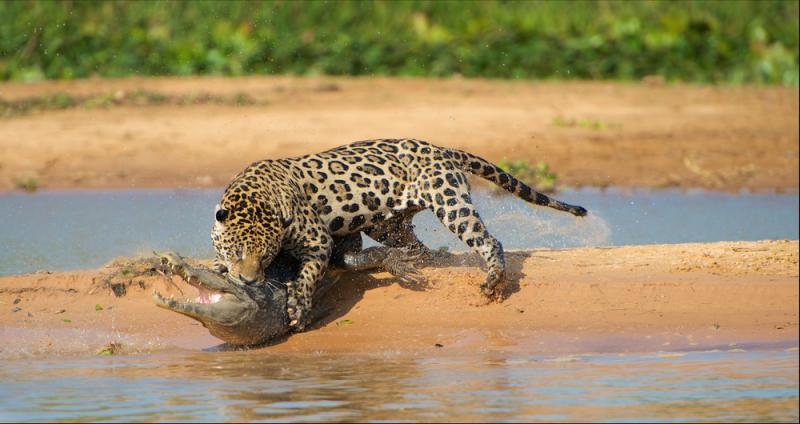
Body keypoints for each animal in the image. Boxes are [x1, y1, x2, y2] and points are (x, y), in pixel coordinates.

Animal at [211, 138, 587, 331]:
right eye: (237, 253)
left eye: (265, 255)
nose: (248, 280)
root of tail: (442, 148)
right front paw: (218, 267)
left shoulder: (317, 240)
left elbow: (307, 275)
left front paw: (297, 307)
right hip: (384, 223)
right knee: (417, 247)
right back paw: (414, 262)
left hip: (449, 201)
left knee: (487, 239)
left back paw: (493, 278)